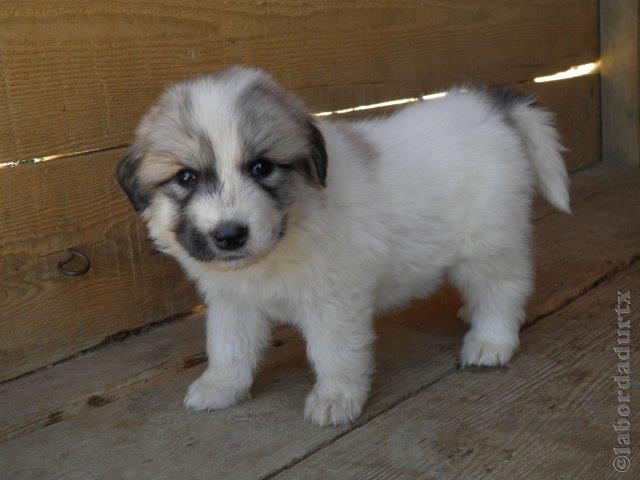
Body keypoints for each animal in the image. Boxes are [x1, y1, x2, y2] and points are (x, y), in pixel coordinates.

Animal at [119, 65, 568, 426]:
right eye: (186, 177)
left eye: (262, 167)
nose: (229, 235)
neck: (287, 235)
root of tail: (487, 107)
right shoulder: (233, 301)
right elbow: (228, 346)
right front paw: (221, 387)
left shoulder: (334, 302)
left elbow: (334, 353)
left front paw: (336, 399)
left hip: (489, 245)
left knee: (502, 290)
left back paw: (491, 340)